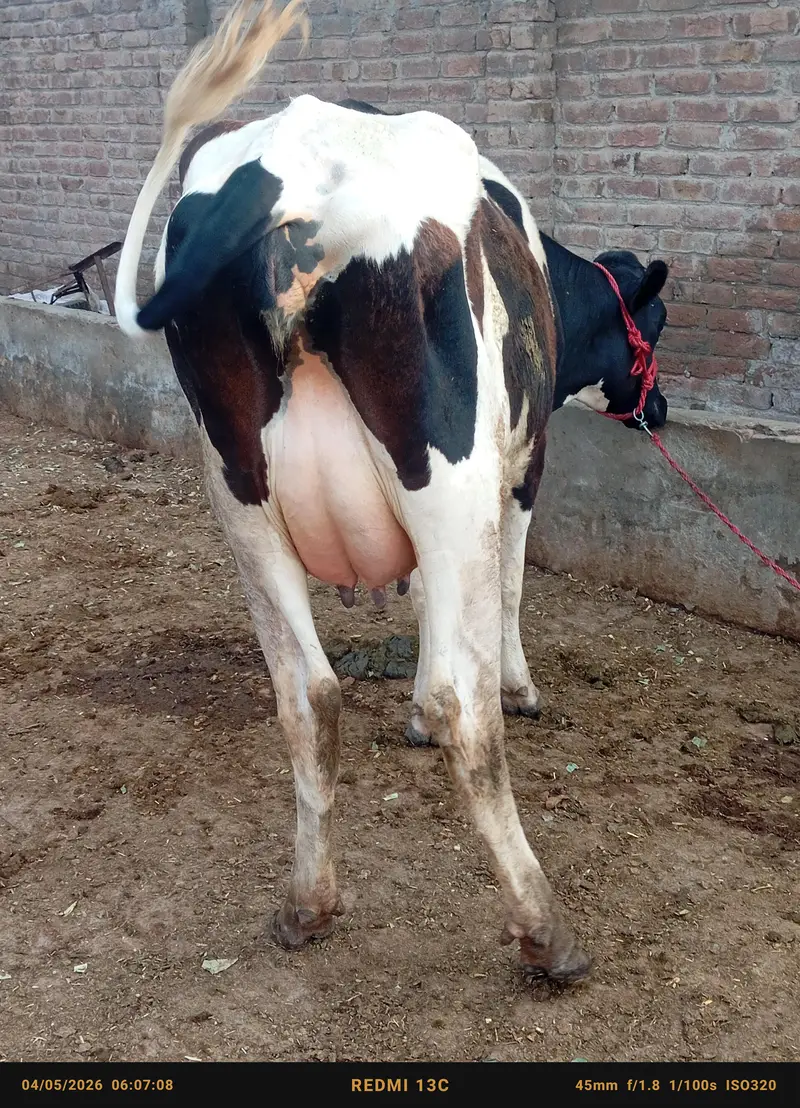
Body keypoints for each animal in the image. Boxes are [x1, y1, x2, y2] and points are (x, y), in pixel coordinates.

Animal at [115, 0, 591, 982]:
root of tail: (293, 171)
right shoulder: (521, 470)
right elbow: (509, 595)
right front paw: (519, 687)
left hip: (238, 488)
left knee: (307, 693)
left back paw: (308, 905)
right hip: (448, 474)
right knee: (464, 706)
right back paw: (547, 930)